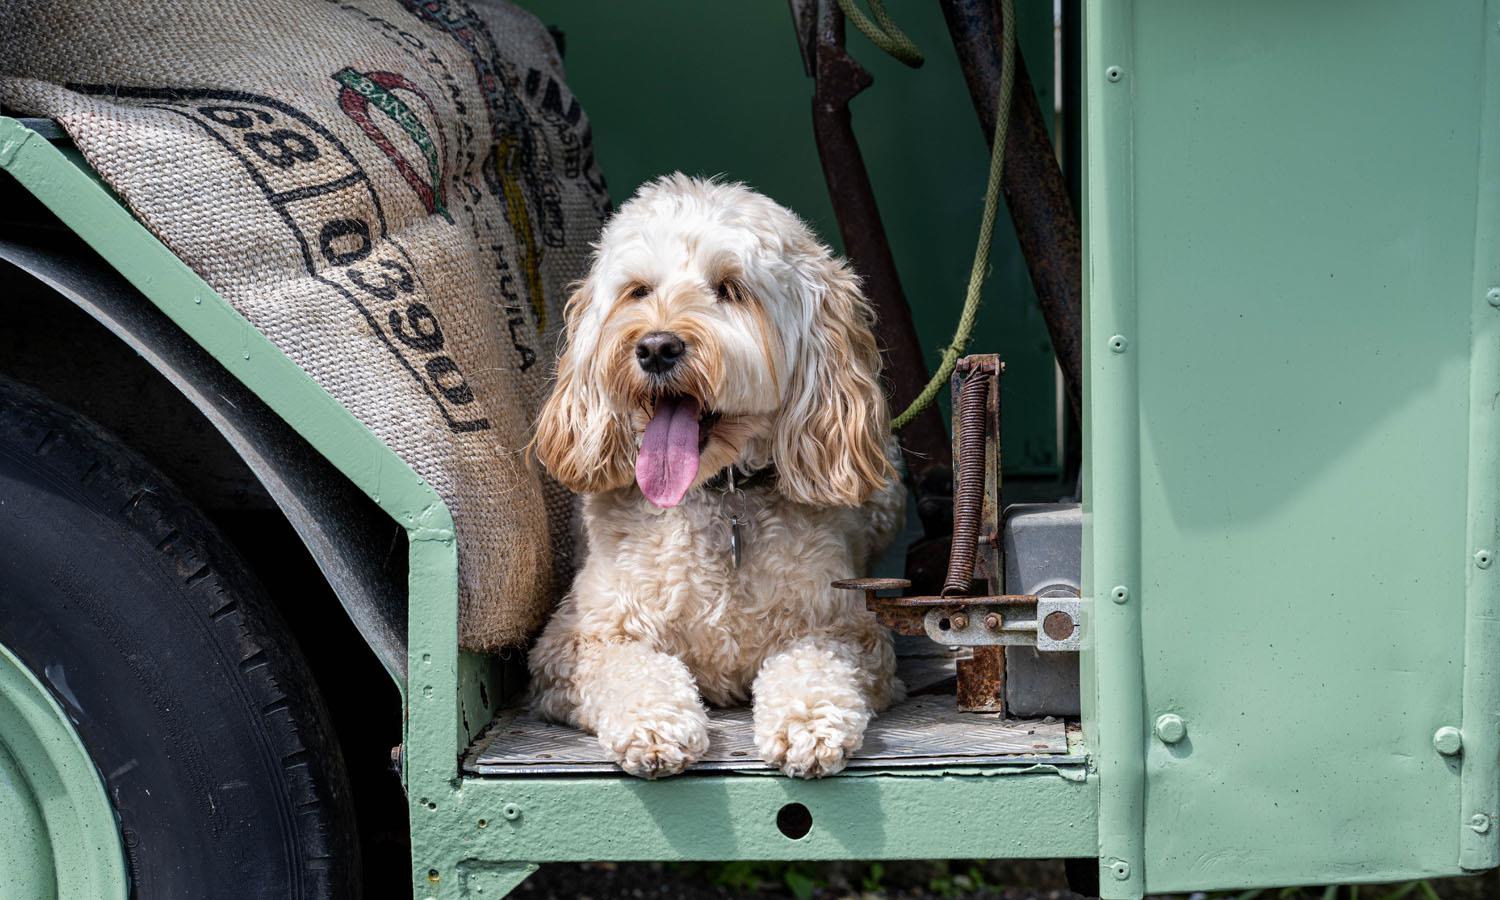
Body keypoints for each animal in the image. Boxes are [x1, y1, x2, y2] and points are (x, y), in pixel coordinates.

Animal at [531, 172, 900, 774]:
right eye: (638, 291)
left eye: (730, 289)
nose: (656, 347)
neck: (719, 496)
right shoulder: (575, 641)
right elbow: (631, 668)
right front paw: (654, 723)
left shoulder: (851, 629)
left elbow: (815, 661)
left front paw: (808, 722)